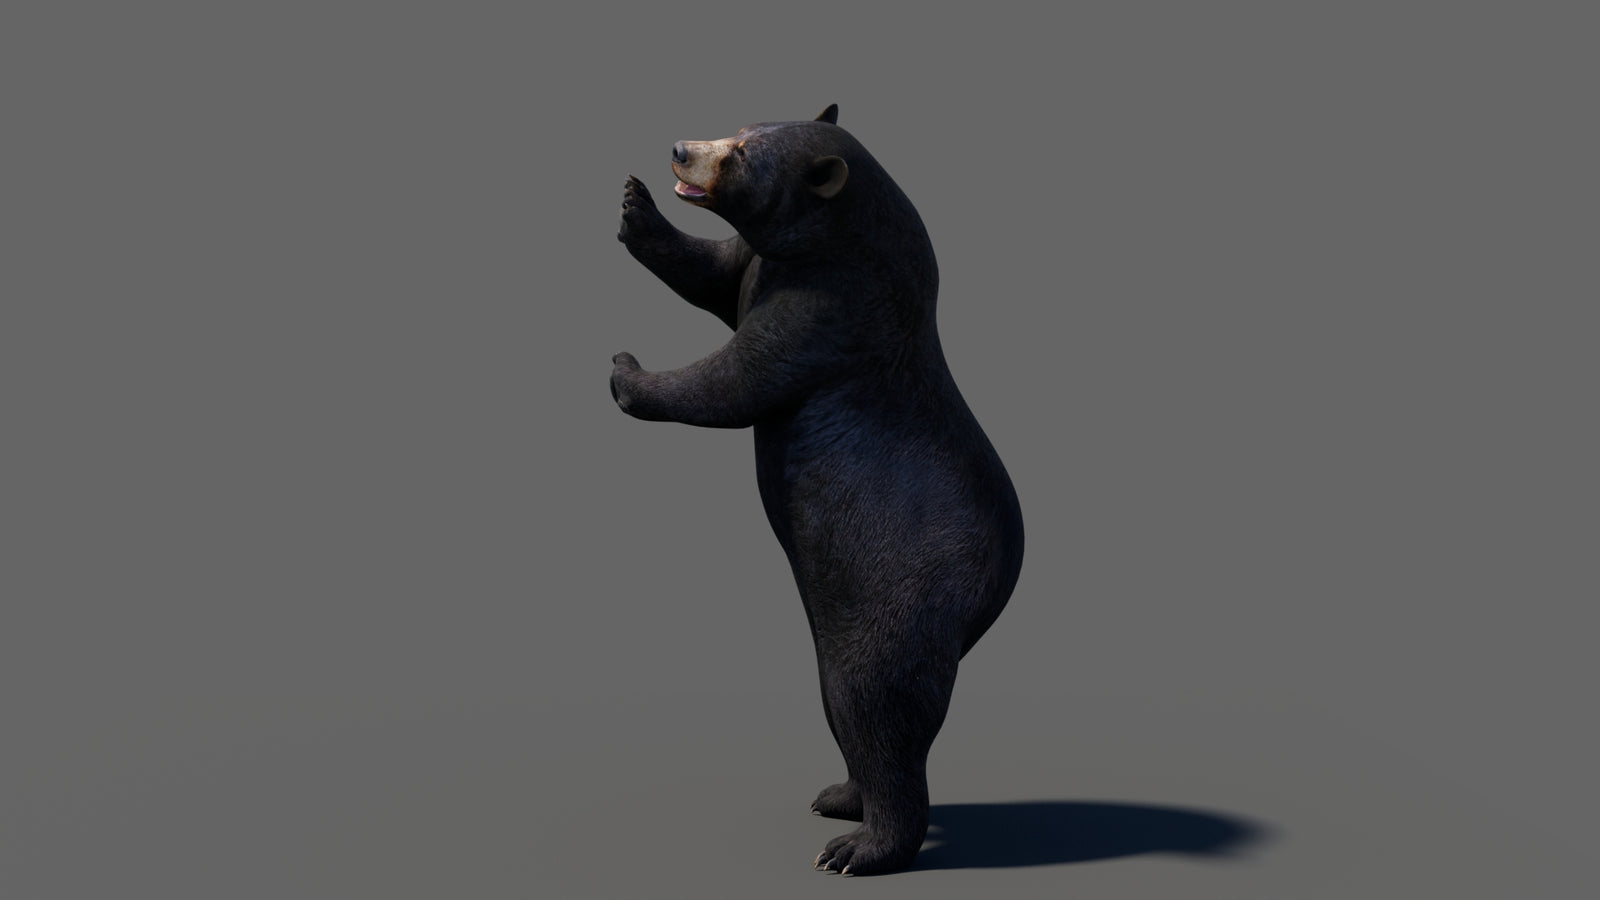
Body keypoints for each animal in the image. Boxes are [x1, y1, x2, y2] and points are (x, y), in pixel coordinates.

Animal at [610, 104, 1024, 875]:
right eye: (739, 125)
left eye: (741, 156)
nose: (680, 149)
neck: (844, 240)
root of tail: (993, 595)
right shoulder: (774, 268)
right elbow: (716, 273)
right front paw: (634, 206)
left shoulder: (834, 308)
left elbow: (737, 379)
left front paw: (627, 372)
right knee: (848, 710)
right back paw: (840, 795)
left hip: (900, 599)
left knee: (875, 704)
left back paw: (860, 847)